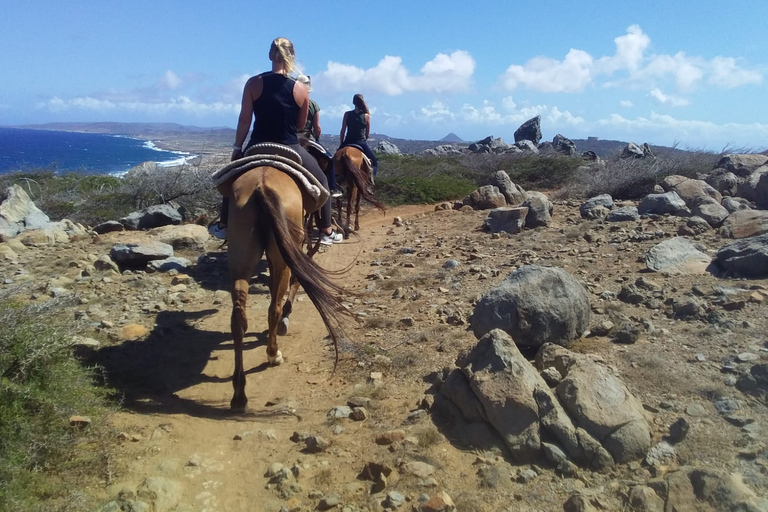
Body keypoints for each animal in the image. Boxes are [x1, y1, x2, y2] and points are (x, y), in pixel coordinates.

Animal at [216, 151, 348, 412]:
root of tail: (262, 186)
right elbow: (295, 283)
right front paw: (287, 317)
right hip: (282, 255)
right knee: (273, 309)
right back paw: (273, 354)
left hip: (240, 257)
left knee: (238, 317)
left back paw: (239, 394)